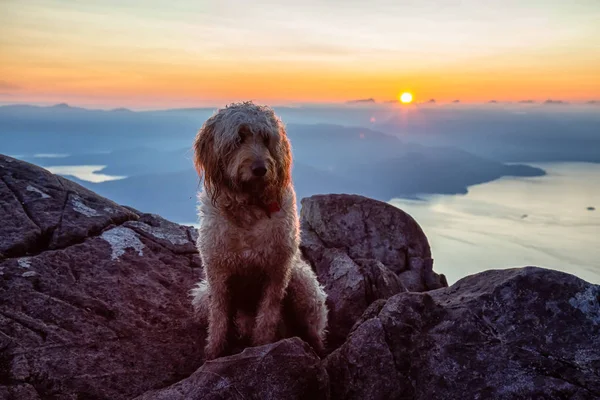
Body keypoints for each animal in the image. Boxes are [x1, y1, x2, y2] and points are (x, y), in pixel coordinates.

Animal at [190, 101, 328, 360]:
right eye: (238, 138)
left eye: (266, 138)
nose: (260, 169)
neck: (248, 208)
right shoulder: (218, 273)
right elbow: (219, 318)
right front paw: (214, 352)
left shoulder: (276, 271)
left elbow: (267, 316)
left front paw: (262, 346)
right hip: (202, 297)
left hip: (303, 286)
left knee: (312, 329)